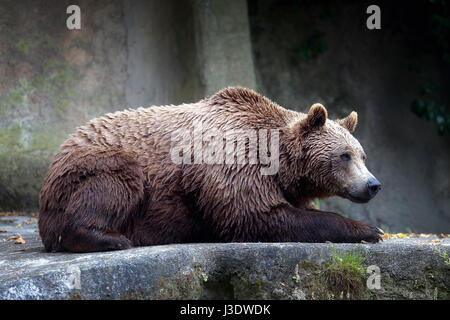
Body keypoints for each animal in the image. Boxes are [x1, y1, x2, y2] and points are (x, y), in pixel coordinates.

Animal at [39, 87, 384, 252]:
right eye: (344, 156)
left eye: (363, 155)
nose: (373, 185)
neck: (277, 159)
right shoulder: (233, 162)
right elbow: (259, 215)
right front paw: (368, 229)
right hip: (93, 165)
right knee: (113, 185)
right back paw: (111, 238)